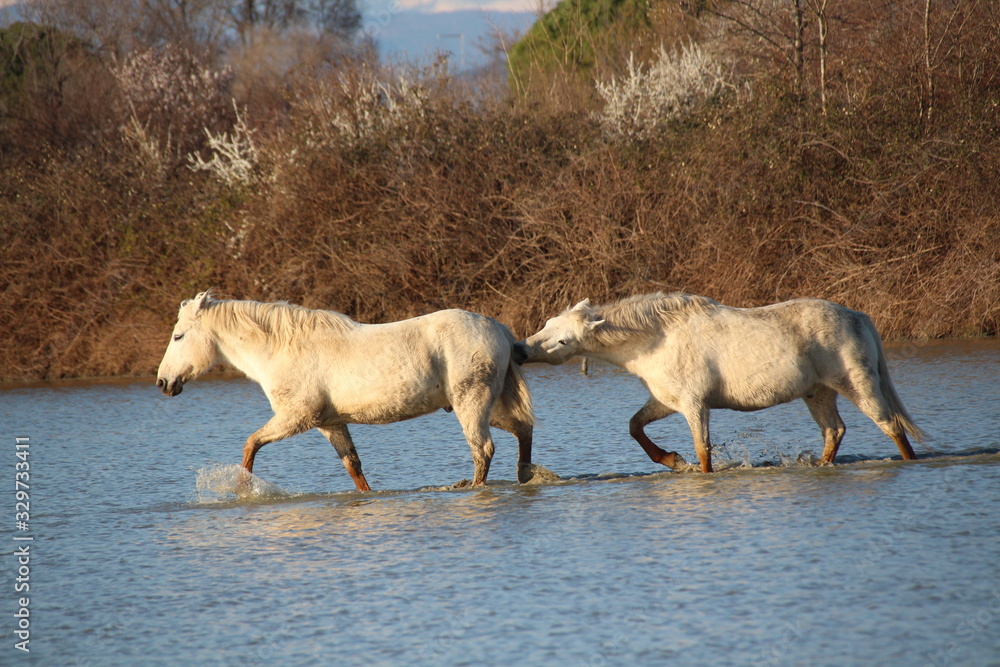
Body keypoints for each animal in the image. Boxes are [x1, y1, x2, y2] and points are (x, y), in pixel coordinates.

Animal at [156, 291, 535, 490]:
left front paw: (241, 490)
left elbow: (251, 444)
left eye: (179, 336)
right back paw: (526, 476)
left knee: (483, 450)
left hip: (472, 403)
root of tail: (497, 328)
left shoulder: (296, 417)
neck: (283, 349)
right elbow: (353, 466)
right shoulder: (329, 423)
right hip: (490, 404)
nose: (163, 383)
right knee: (523, 432)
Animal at [513, 292, 926, 473]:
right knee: (834, 431)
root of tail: (856, 315)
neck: (658, 337)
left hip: (858, 385)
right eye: (547, 324)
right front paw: (670, 460)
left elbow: (703, 451)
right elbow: (634, 426)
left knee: (891, 426)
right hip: (818, 393)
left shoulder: (695, 406)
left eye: (563, 341)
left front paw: (690, 469)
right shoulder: (667, 402)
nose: (519, 350)